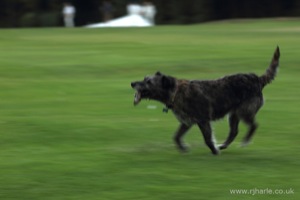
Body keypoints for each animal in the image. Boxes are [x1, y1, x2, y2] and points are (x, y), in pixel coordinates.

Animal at [130, 46, 280, 155]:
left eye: (148, 82)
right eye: (144, 78)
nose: (132, 83)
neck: (176, 92)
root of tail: (257, 79)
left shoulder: (203, 120)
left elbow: (207, 139)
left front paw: (214, 151)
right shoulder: (186, 122)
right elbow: (176, 136)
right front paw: (183, 148)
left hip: (245, 112)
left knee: (254, 125)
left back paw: (245, 141)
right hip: (233, 114)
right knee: (233, 132)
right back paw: (224, 144)